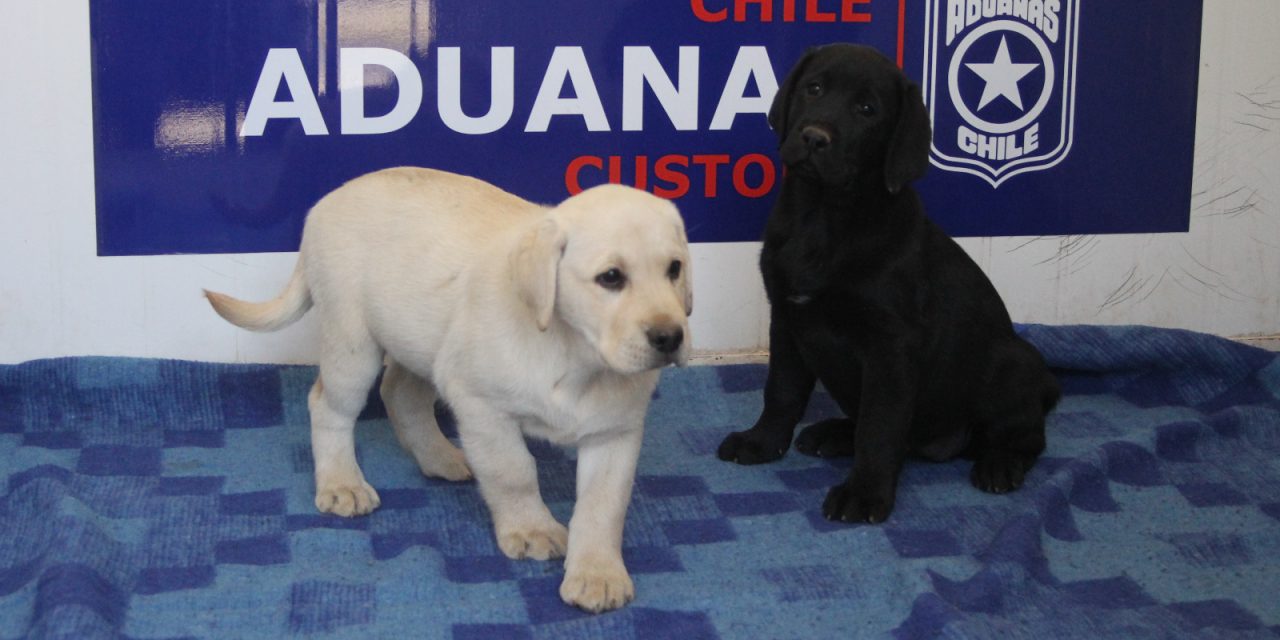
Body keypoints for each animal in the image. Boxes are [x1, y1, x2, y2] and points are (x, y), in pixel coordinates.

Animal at [204, 167, 696, 611]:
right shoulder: (482, 406)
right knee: (327, 406)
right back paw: (343, 483)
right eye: (611, 277)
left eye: (675, 269)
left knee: (399, 393)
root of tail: (328, 199)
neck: (577, 357)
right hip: (352, 341)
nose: (670, 337)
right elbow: (514, 471)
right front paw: (531, 529)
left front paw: (597, 574)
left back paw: (440, 458)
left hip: (421, 340)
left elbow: (603, 504)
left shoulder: (615, 431)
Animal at [721, 45, 1059, 524]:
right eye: (814, 88)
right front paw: (762, 442)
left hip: (1012, 362)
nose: (814, 137)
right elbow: (781, 391)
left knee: (1027, 436)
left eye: (867, 110)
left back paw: (1000, 464)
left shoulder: (891, 347)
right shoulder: (786, 318)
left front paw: (864, 495)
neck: (823, 216)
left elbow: (880, 426)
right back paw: (832, 432)